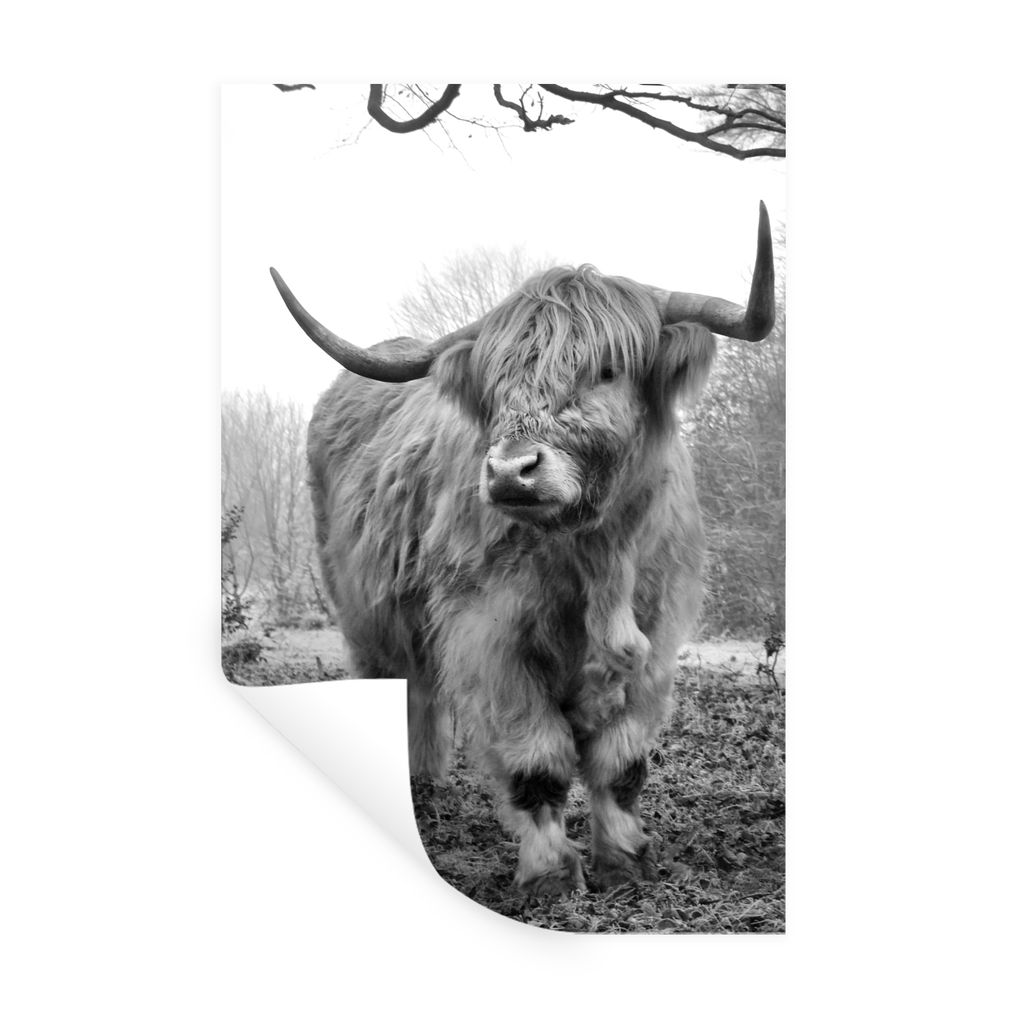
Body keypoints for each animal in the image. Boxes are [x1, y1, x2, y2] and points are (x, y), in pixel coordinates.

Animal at [269, 203, 775, 895]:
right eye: (497, 381)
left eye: (607, 370)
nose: (511, 471)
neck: (597, 557)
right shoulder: (491, 637)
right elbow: (538, 762)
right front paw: (551, 877)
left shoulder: (657, 638)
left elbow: (622, 764)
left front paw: (625, 862)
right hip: (361, 608)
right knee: (400, 681)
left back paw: (427, 776)